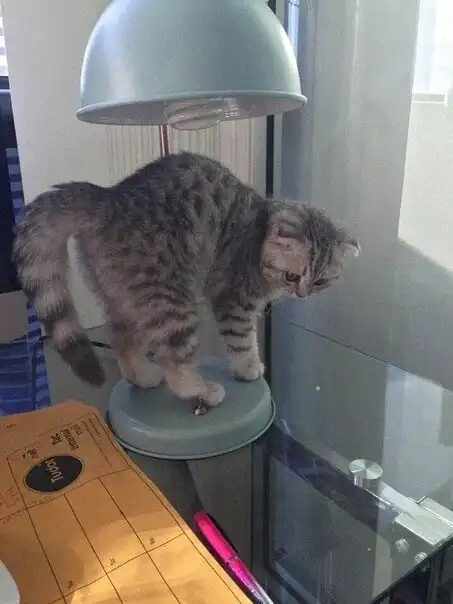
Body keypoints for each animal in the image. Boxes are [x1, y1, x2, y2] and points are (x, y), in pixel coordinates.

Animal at [14, 152, 359, 410]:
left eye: (320, 281)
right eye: (293, 275)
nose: (302, 293)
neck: (257, 234)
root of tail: (108, 197)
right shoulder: (234, 300)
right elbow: (243, 340)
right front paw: (248, 367)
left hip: (124, 298)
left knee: (123, 342)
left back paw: (142, 376)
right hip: (170, 301)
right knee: (175, 364)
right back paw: (201, 390)